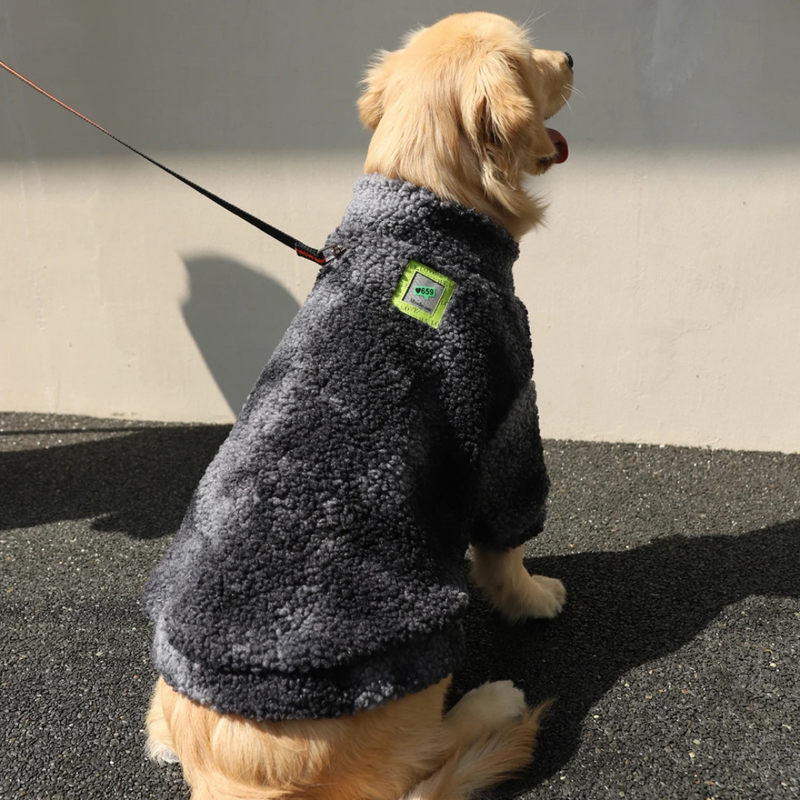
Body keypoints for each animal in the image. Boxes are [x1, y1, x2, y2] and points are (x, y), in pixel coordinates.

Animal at [142, 12, 568, 800]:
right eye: (533, 61)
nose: (574, 56)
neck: (419, 217)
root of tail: (231, 776)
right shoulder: (509, 419)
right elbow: (506, 546)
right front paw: (531, 596)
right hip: (412, 658)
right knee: (415, 762)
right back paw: (491, 703)